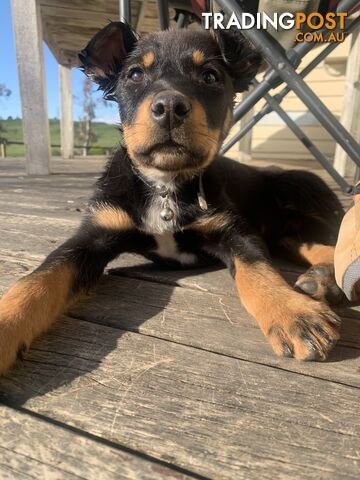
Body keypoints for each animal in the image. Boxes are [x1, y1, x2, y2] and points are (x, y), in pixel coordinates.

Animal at [0, 23, 344, 376]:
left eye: (210, 76)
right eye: (135, 74)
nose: (169, 108)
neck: (165, 184)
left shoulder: (233, 230)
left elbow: (257, 269)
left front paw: (294, 313)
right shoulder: (94, 234)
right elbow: (39, 278)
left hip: (299, 188)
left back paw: (323, 282)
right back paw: (321, 282)